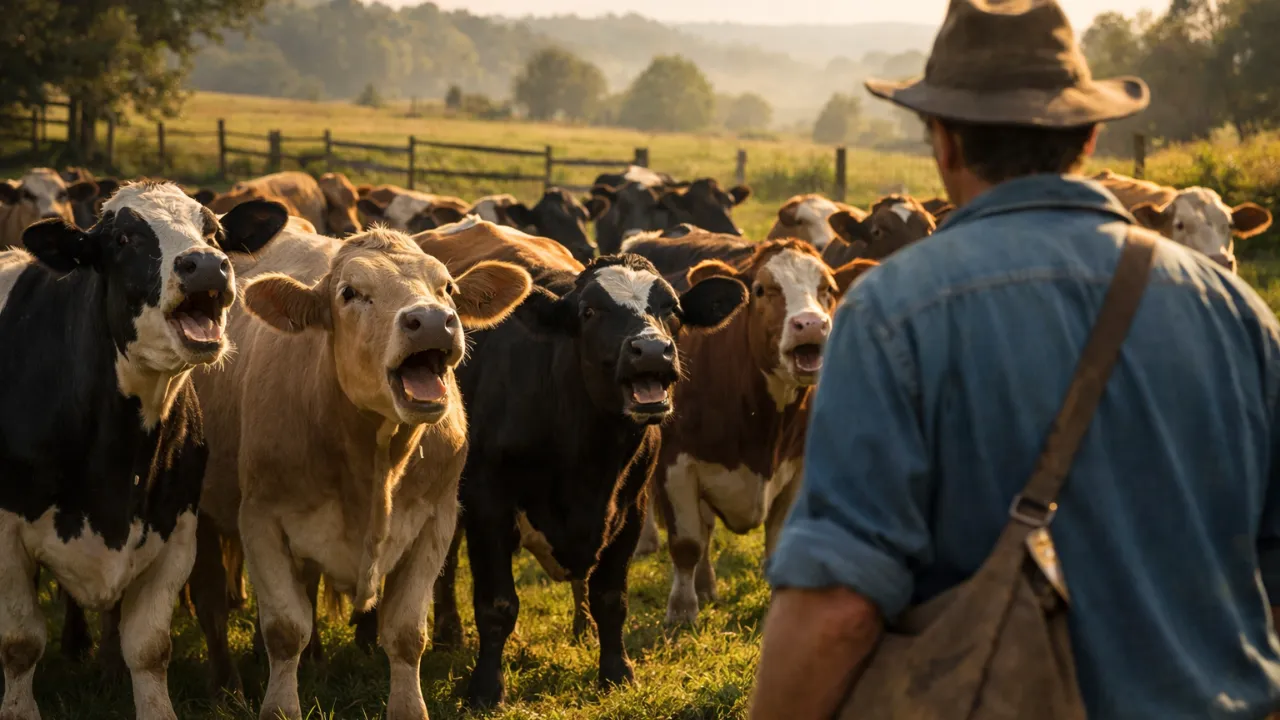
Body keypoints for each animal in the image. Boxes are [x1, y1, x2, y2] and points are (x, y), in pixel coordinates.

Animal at [0, 181, 288, 720]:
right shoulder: (5, 535)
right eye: (124, 238)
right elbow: (20, 643)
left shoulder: (176, 529)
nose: (206, 264)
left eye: (212, 231)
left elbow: (150, 649)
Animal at [186, 220, 531, 720]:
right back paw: (224, 684)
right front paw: (280, 704)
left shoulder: (436, 520)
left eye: (447, 288)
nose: (432, 320)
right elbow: (285, 629)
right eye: (350, 292)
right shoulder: (260, 518)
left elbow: (406, 634)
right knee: (211, 599)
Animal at [419, 218, 749, 708]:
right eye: (590, 312)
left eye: (671, 309)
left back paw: (583, 627)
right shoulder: (487, 502)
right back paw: (446, 631)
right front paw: (486, 688)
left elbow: (611, 597)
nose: (653, 350)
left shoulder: (630, 507)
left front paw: (615, 671)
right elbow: (497, 604)